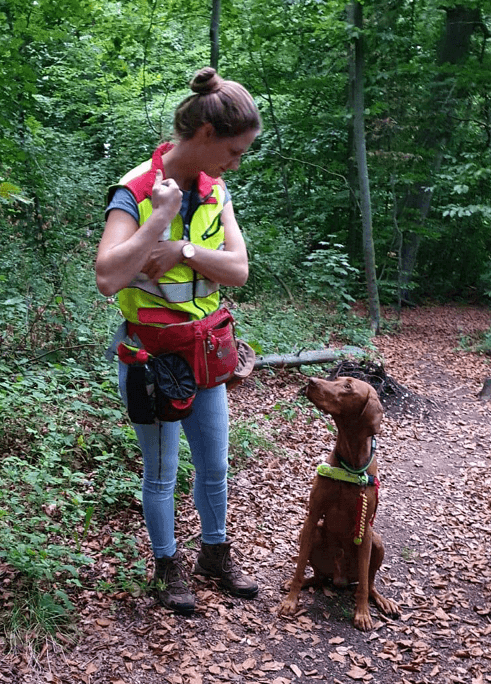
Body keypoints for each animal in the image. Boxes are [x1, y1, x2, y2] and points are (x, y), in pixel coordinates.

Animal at [280, 376, 400, 628]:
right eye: (336, 379)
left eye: (348, 386)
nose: (311, 381)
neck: (351, 465)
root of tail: (339, 579)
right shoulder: (313, 516)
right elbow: (299, 567)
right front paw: (290, 601)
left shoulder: (365, 529)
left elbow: (364, 583)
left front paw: (362, 613)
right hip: (313, 535)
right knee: (317, 576)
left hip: (376, 542)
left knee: (369, 583)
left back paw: (383, 601)